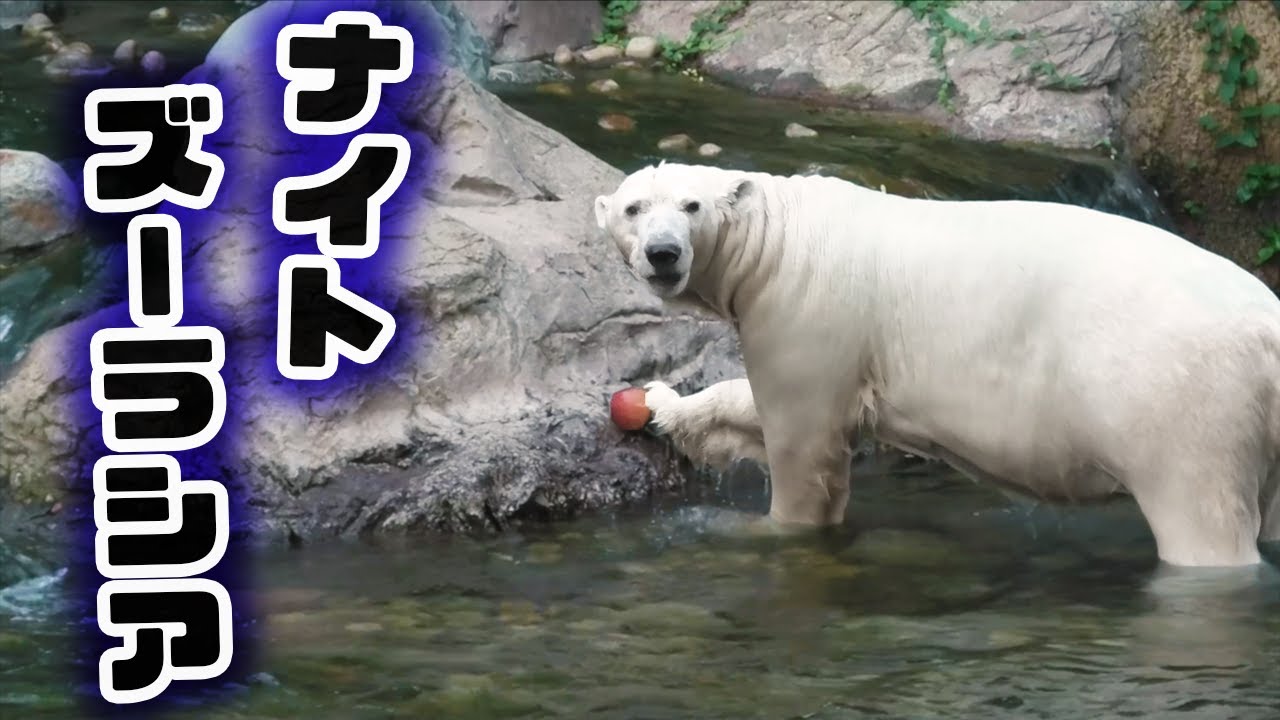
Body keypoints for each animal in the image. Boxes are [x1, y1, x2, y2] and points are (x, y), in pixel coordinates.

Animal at [593, 162, 1280, 568]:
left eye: (691, 207)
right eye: (633, 209)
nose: (662, 253)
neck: (782, 238)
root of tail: (1268, 326)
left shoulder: (808, 309)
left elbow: (804, 440)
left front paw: (772, 531)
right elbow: (761, 407)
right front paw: (662, 405)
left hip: (1186, 400)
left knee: (1202, 521)